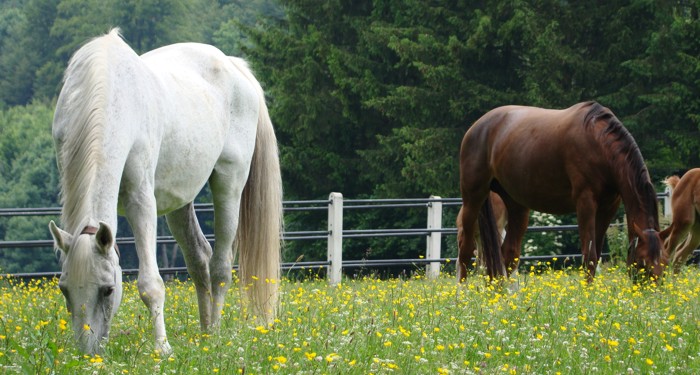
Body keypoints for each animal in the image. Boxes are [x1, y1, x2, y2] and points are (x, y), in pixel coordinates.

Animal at [47, 29, 284, 356]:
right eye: (64, 289)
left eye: (108, 290)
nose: (88, 353)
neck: (110, 94)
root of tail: (234, 66)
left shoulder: (141, 199)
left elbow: (150, 285)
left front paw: (162, 348)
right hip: (179, 202)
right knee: (199, 260)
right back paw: (205, 335)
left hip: (230, 182)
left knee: (220, 266)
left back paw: (217, 336)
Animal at [456, 101, 664, 284]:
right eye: (643, 263)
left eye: (664, 262)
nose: (653, 292)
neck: (598, 142)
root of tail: (477, 126)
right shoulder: (585, 202)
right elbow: (589, 256)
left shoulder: (609, 207)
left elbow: (596, 255)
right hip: (473, 197)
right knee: (465, 251)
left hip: (517, 206)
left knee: (508, 253)